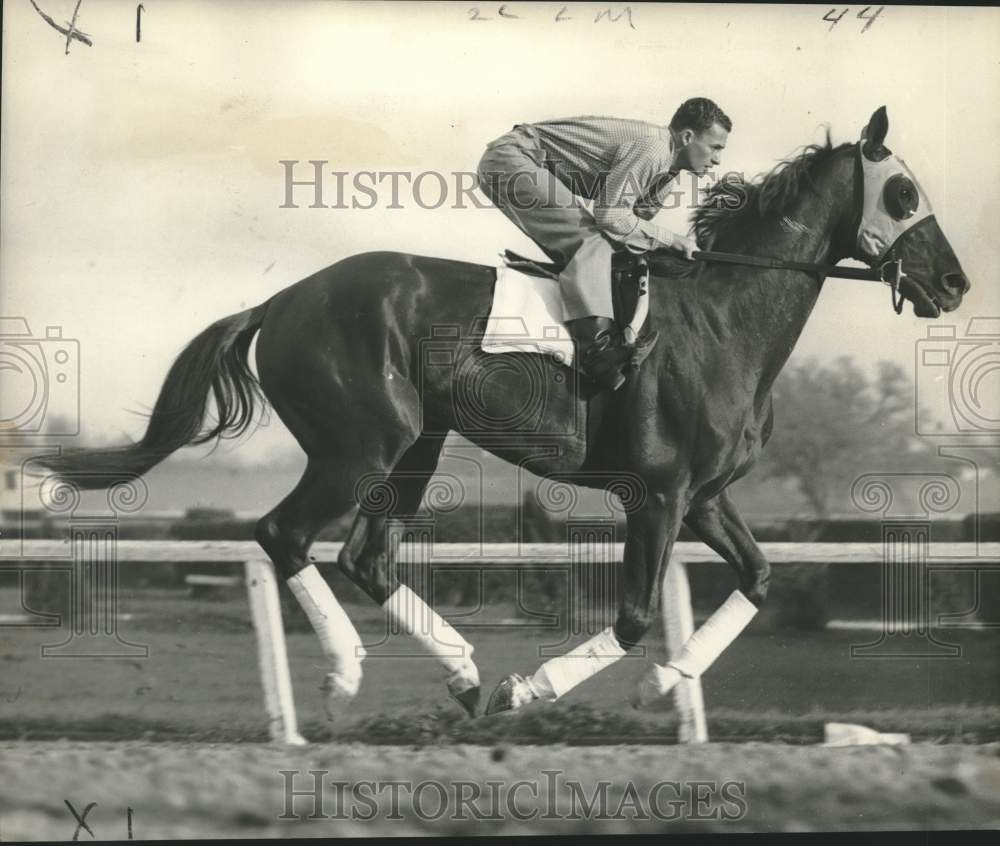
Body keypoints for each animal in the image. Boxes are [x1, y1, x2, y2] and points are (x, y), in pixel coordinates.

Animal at [37, 104, 968, 724]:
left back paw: (462, 677)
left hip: (415, 444)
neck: (720, 322)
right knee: (284, 535)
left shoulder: (704, 497)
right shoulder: (657, 496)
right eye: (903, 191)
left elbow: (761, 577)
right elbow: (635, 616)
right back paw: (348, 675)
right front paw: (539, 687)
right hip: (360, 445)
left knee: (367, 556)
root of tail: (282, 300)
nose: (956, 283)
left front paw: (665, 682)